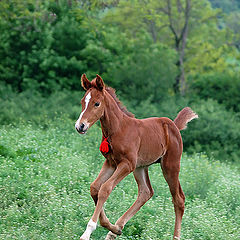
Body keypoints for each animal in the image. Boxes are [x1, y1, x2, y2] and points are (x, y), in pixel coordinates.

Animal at [76, 74, 198, 239]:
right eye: (83, 101)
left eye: (96, 103)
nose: (80, 126)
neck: (117, 129)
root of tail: (174, 126)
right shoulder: (111, 163)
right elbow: (95, 187)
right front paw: (112, 227)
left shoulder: (127, 164)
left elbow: (105, 189)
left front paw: (88, 231)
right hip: (141, 166)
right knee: (146, 192)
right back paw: (115, 230)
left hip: (170, 165)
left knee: (178, 199)